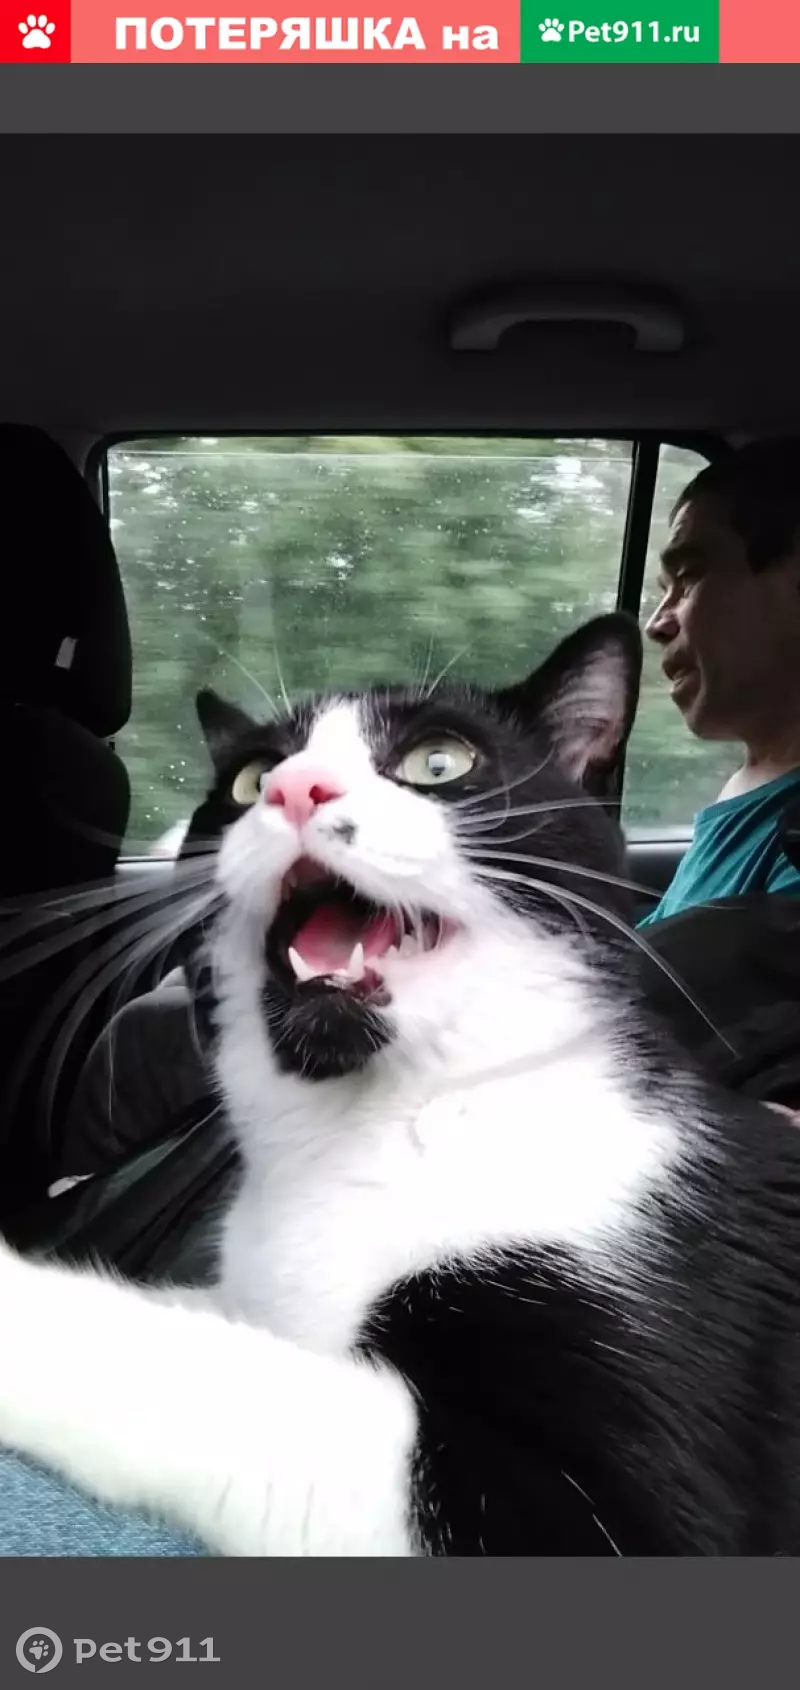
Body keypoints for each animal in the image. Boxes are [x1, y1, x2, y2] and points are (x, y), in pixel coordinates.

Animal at [0, 610, 799, 1555]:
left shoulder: (608, 1501)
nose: (294, 788)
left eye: (439, 763)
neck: (379, 1122)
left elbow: (235, 1385)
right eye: (249, 777)